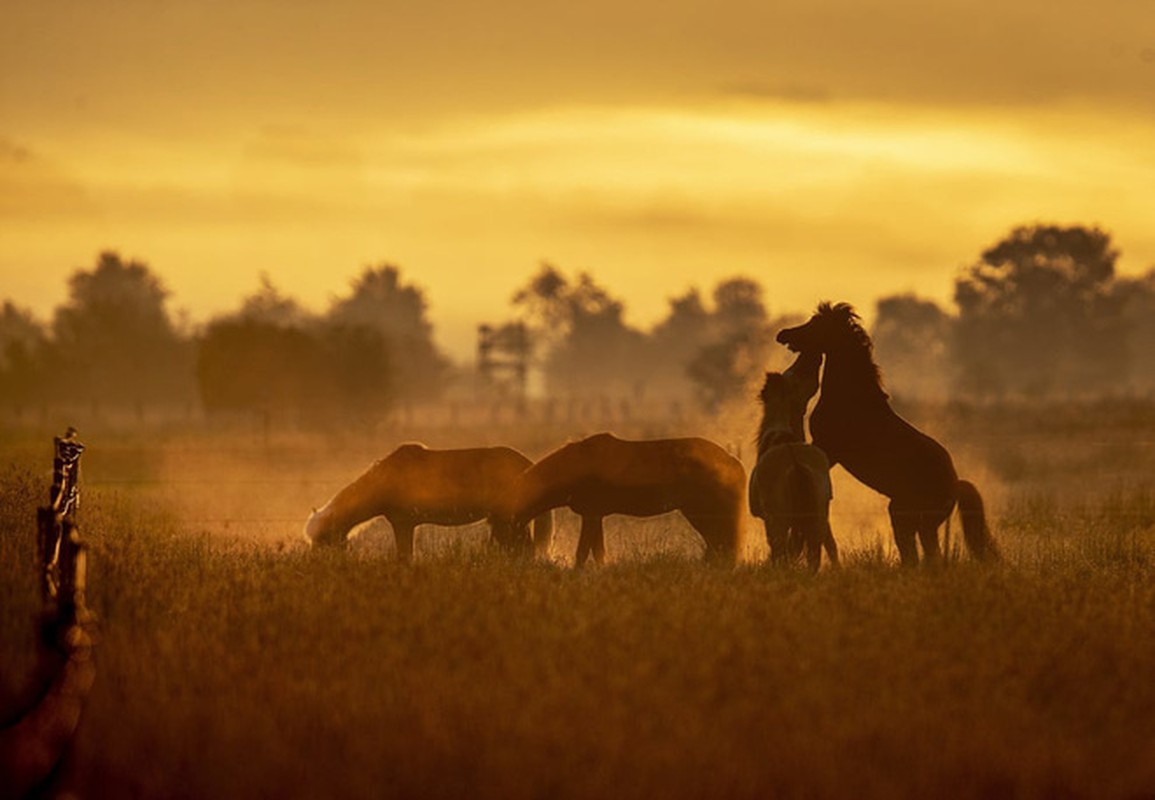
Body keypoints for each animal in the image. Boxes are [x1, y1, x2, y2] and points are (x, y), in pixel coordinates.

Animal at [304, 443, 552, 561]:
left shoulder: (403, 523)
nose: (315, 564)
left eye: (323, 539)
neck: (386, 479)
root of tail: (527, 463)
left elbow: (405, 557)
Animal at [503, 431, 739, 567]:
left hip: (700, 512)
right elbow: (598, 553)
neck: (575, 467)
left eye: (508, 527)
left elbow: (583, 553)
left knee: (719, 543)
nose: (512, 559)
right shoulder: (594, 515)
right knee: (718, 544)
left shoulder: (591, 514)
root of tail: (732, 460)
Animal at [748, 353, 840, 570]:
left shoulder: (768, 519)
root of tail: (796, 464)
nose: (812, 355)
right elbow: (829, 546)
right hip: (818, 513)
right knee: (815, 552)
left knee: (781, 551)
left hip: (778, 519)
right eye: (794, 371)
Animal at [776, 300, 1002, 567]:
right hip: (914, 522)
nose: (783, 334)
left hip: (911, 519)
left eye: (815, 324)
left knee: (923, 557)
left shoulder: (828, 448)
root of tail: (954, 484)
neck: (849, 396)